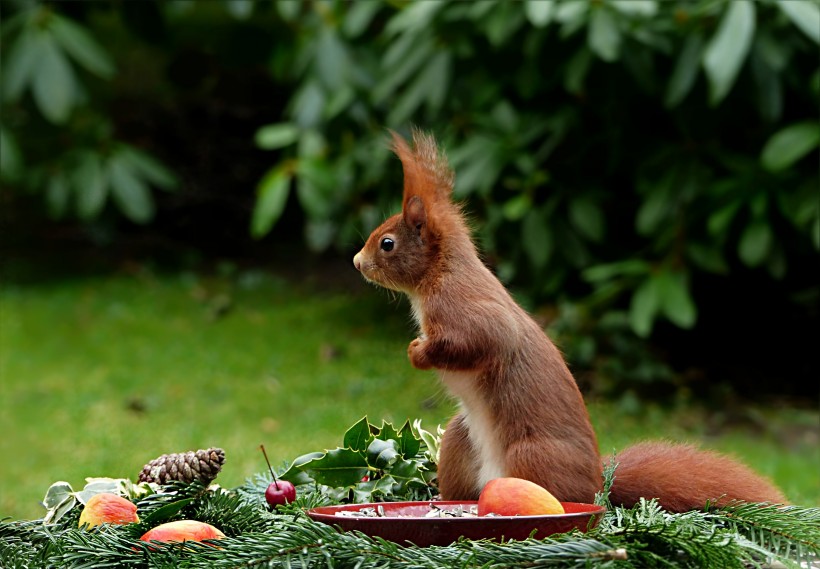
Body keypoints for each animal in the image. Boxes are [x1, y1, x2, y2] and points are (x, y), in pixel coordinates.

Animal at [352, 131, 788, 512]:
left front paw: (418, 352)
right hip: (461, 441)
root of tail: (598, 487)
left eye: (387, 244)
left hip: (530, 455)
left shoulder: (464, 306)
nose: (357, 262)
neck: (436, 275)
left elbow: (481, 340)